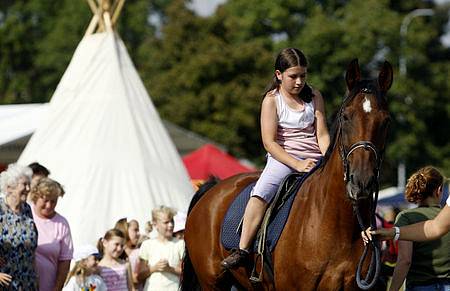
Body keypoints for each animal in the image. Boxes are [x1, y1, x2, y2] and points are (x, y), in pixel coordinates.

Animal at [181, 58, 392, 290]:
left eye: (386, 121)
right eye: (345, 117)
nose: (361, 182)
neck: (338, 224)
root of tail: (213, 188)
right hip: (212, 283)